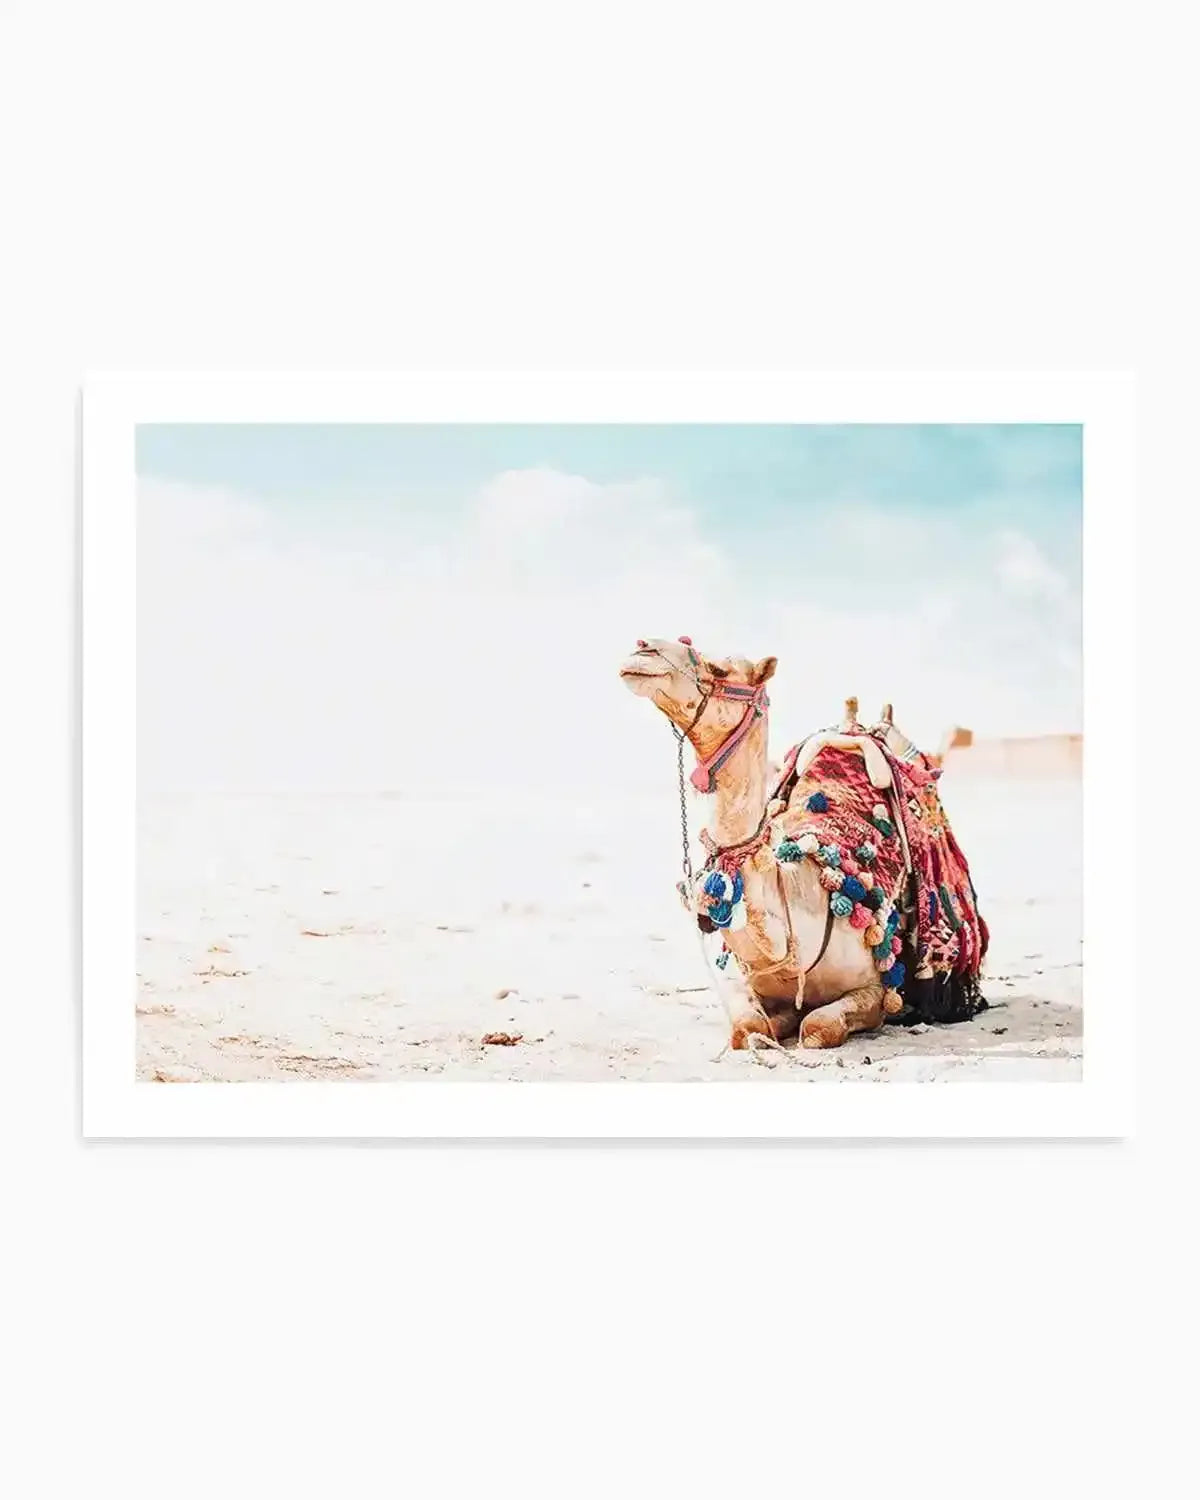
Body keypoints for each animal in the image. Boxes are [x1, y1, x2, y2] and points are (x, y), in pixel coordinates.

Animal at [620, 635, 919, 1051]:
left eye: (719, 668)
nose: (643, 648)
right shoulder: (746, 982)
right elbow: (748, 1028)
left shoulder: (874, 991)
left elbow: (817, 1027)